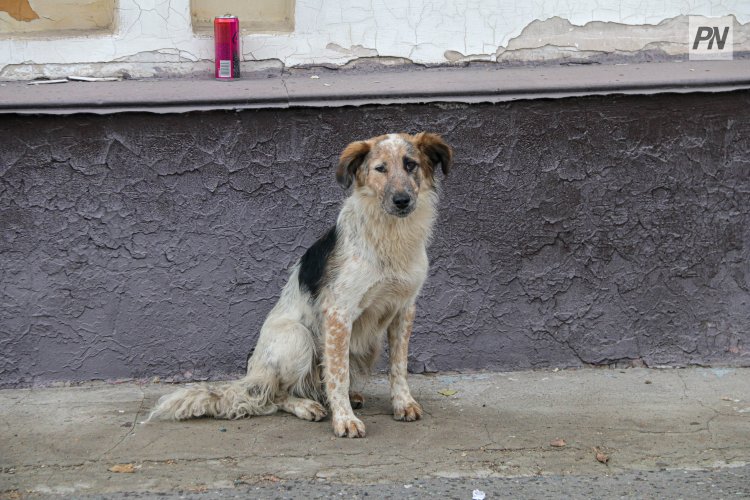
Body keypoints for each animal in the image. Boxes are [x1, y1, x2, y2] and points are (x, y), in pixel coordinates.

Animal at [147, 130, 452, 438]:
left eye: (410, 165)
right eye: (380, 168)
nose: (402, 200)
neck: (390, 235)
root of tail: (254, 374)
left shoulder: (404, 309)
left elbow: (398, 367)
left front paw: (403, 404)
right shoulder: (339, 313)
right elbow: (338, 375)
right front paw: (344, 420)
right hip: (297, 337)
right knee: (274, 395)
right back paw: (307, 406)